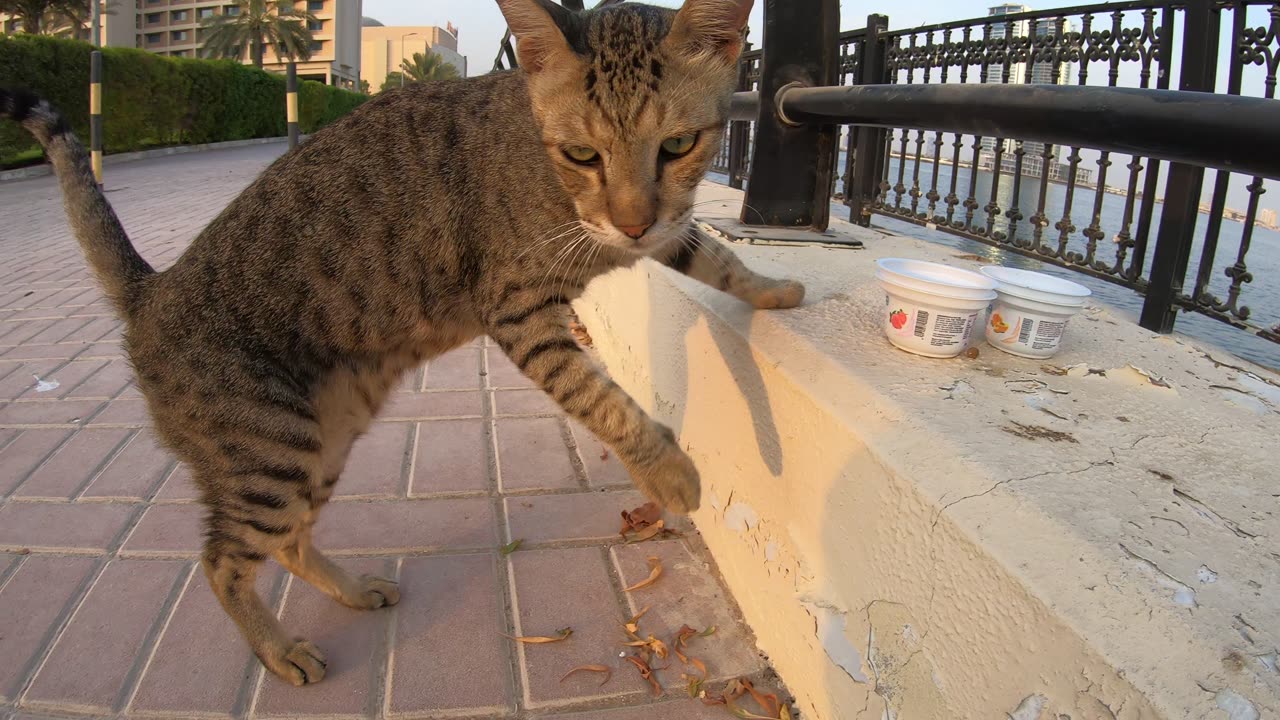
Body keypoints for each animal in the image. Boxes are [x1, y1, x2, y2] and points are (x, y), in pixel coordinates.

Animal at [0, 0, 798, 681]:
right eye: (581, 154)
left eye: (678, 144)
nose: (631, 223)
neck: (546, 167)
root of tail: (151, 289)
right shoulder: (519, 309)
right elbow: (602, 397)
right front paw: (668, 472)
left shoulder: (657, 231)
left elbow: (712, 255)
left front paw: (775, 289)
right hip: (268, 455)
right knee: (222, 561)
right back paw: (280, 650)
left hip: (319, 444)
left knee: (288, 541)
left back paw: (352, 590)